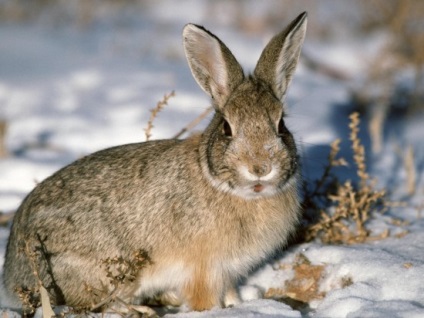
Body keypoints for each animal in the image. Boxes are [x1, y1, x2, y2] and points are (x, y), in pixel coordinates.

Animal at [2, 11, 308, 316]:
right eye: (227, 128)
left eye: (281, 125)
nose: (260, 168)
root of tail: (12, 275)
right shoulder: (204, 270)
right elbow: (204, 300)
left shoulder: (228, 272)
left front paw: (239, 304)